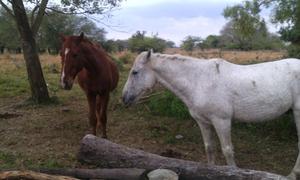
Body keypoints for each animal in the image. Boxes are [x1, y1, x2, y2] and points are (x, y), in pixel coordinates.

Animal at [121, 50, 300, 179]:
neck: (199, 81)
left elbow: (227, 150)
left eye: (135, 72)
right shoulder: (203, 122)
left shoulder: (222, 121)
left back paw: (292, 174)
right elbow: (210, 148)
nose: (124, 98)